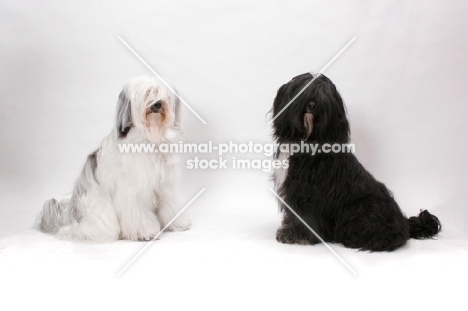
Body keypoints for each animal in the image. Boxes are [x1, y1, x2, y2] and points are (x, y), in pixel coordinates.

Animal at [39, 77, 190, 243]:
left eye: (163, 95)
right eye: (148, 93)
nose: (157, 104)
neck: (149, 139)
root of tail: (69, 215)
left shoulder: (165, 185)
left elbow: (169, 204)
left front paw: (176, 223)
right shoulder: (132, 189)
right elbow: (137, 212)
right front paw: (145, 232)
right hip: (99, 211)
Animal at [272, 73, 440, 254]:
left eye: (325, 95)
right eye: (306, 89)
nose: (312, 105)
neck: (308, 138)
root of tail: (405, 225)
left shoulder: (306, 193)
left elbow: (303, 215)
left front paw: (297, 236)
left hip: (366, 207)